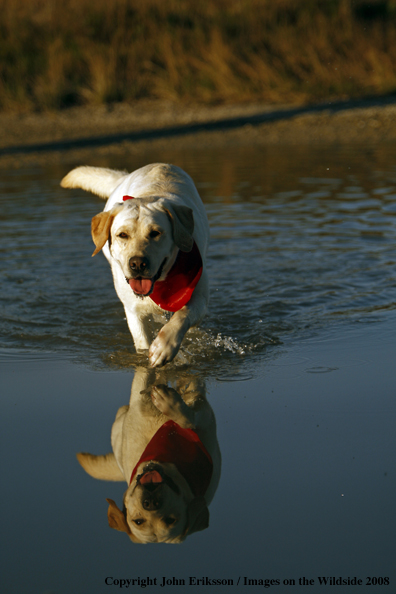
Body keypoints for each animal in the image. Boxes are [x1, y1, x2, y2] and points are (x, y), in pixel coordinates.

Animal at [60, 163, 209, 366]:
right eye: (123, 235)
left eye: (155, 233)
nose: (137, 263)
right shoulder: (133, 311)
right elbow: (142, 343)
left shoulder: (198, 295)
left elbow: (181, 316)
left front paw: (163, 347)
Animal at [76, 366, 221, 540]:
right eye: (138, 521)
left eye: (170, 520)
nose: (151, 503)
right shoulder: (138, 403)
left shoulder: (203, 416)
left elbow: (189, 418)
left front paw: (171, 404)